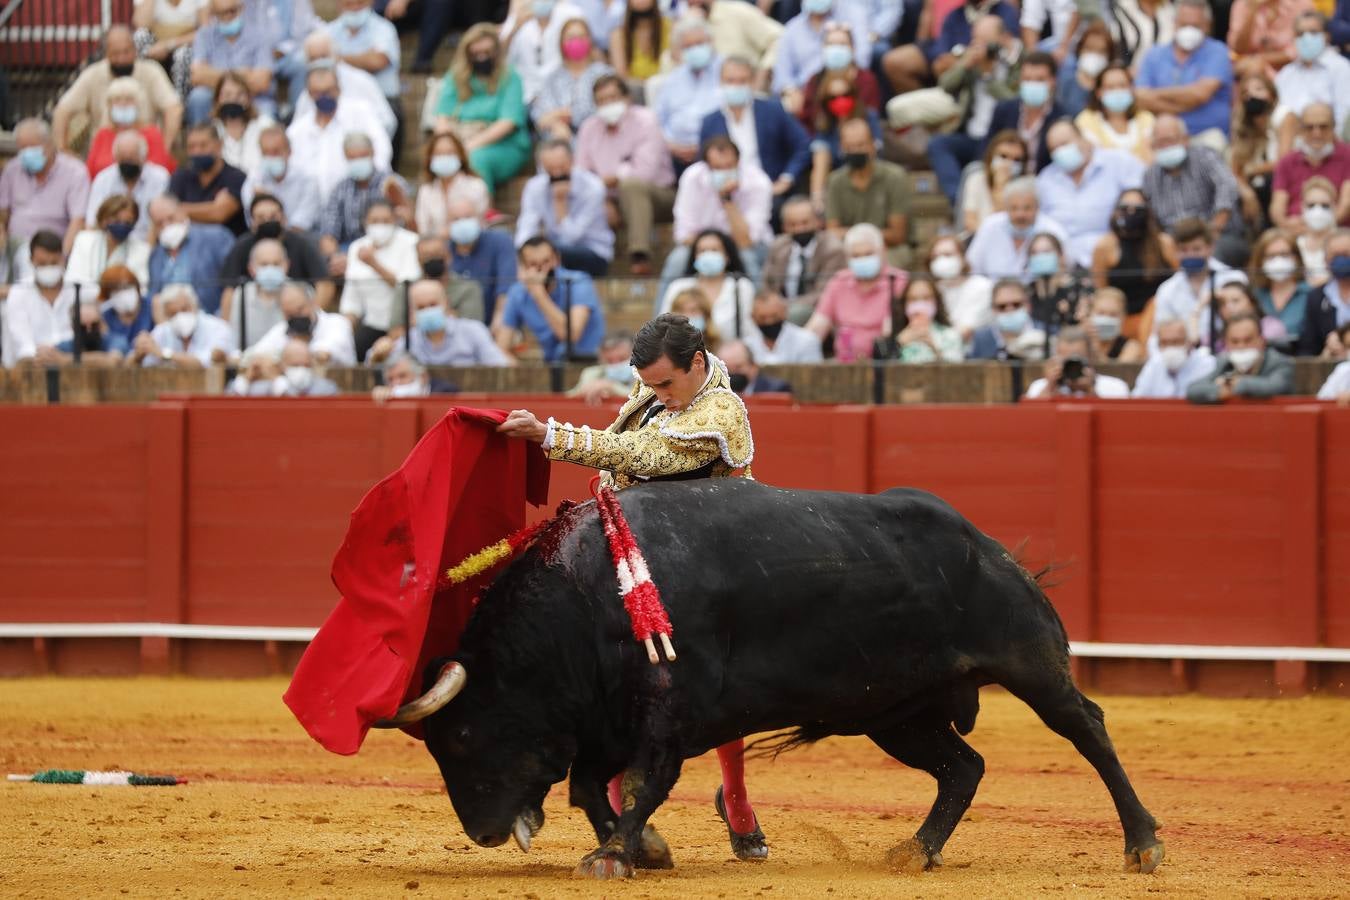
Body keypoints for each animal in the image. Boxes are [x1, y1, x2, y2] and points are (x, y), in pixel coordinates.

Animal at [410, 477, 1161, 879]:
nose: (481, 832)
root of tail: (988, 544)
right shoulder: (606, 721)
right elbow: (590, 787)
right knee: (962, 767)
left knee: (1087, 730)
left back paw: (1143, 843)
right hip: (896, 711)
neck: (588, 594)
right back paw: (915, 850)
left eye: (465, 735)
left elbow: (645, 782)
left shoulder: (668, 713)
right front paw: (638, 848)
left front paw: (616, 852)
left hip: (1028, 661)